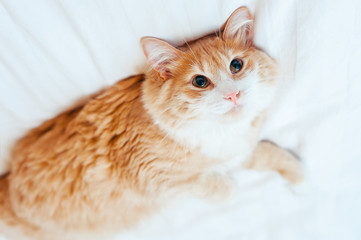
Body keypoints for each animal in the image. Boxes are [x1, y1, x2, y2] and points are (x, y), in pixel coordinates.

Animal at [0, 5, 304, 240]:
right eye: (200, 82)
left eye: (236, 66)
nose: (232, 95)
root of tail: (9, 181)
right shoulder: (156, 180)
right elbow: (214, 186)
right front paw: (227, 186)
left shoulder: (240, 150)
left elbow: (267, 153)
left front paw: (298, 176)